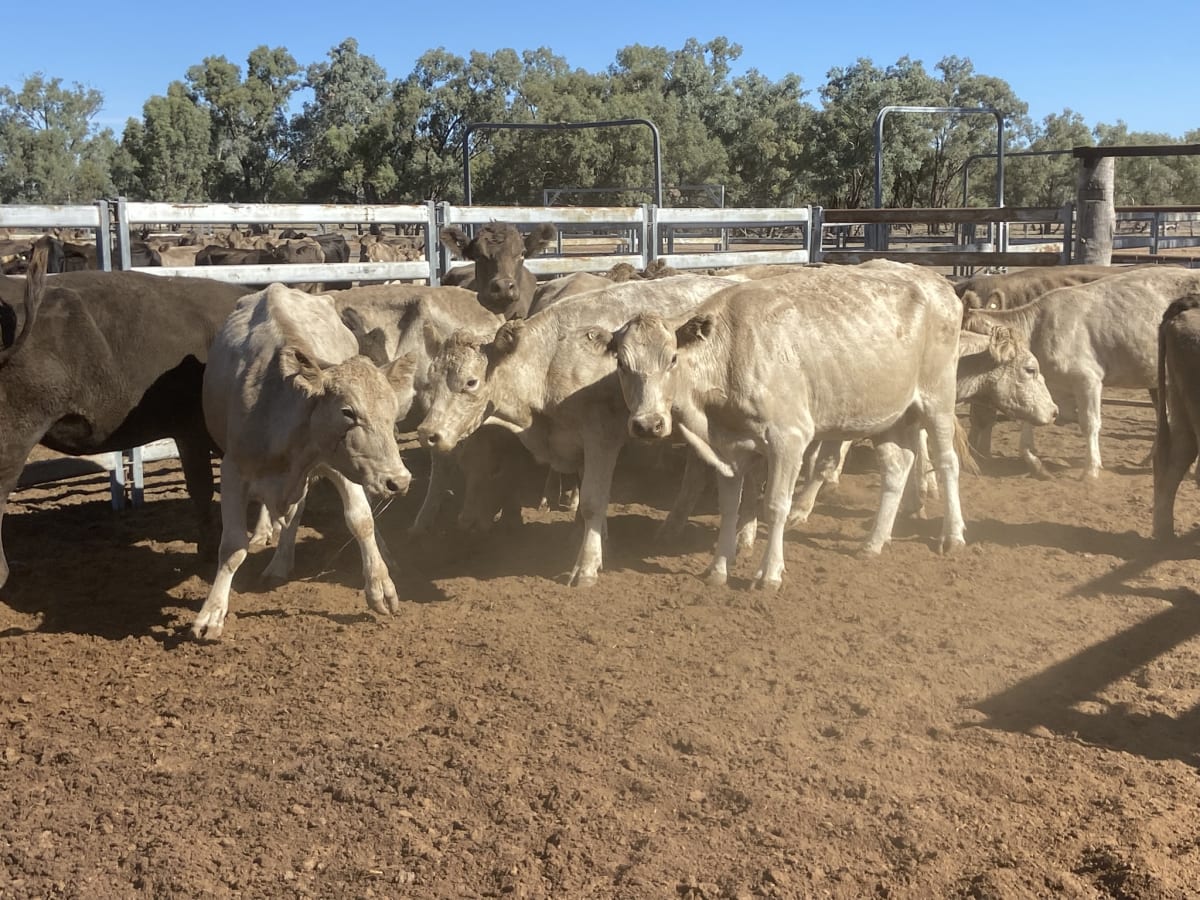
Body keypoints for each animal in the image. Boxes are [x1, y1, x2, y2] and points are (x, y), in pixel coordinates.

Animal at [192, 283, 417, 640]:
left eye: (392, 411)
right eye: (348, 412)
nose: (399, 481)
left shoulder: (341, 464)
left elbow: (361, 521)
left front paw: (381, 587)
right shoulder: (233, 471)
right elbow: (232, 546)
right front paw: (211, 613)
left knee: (298, 511)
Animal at [416, 274, 743, 586]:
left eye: (470, 382)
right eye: (431, 378)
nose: (428, 433)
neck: (551, 359)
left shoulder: (601, 439)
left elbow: (592, 502)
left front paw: (586, 566)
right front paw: (589, 539)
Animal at [608, 261, 967, 589]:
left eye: (672, 359)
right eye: (622, 364)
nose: (648, 424)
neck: (731, 353)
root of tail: (935, 281)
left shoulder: (789, 439)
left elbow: (776, 505)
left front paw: (769, 574)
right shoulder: (728, 448)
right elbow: (729, 507)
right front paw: (718, 569)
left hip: (937, 399)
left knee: (948, 463)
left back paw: (952, 536)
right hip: (889, 415)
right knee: (896, 468)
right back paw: (874, 542)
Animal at [964, 265, 1200, 478]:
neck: (1037, 329)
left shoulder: (1088, 379)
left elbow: (1089, 422)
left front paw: (1091, 469)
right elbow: (1032, 419)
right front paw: (1036, 465)